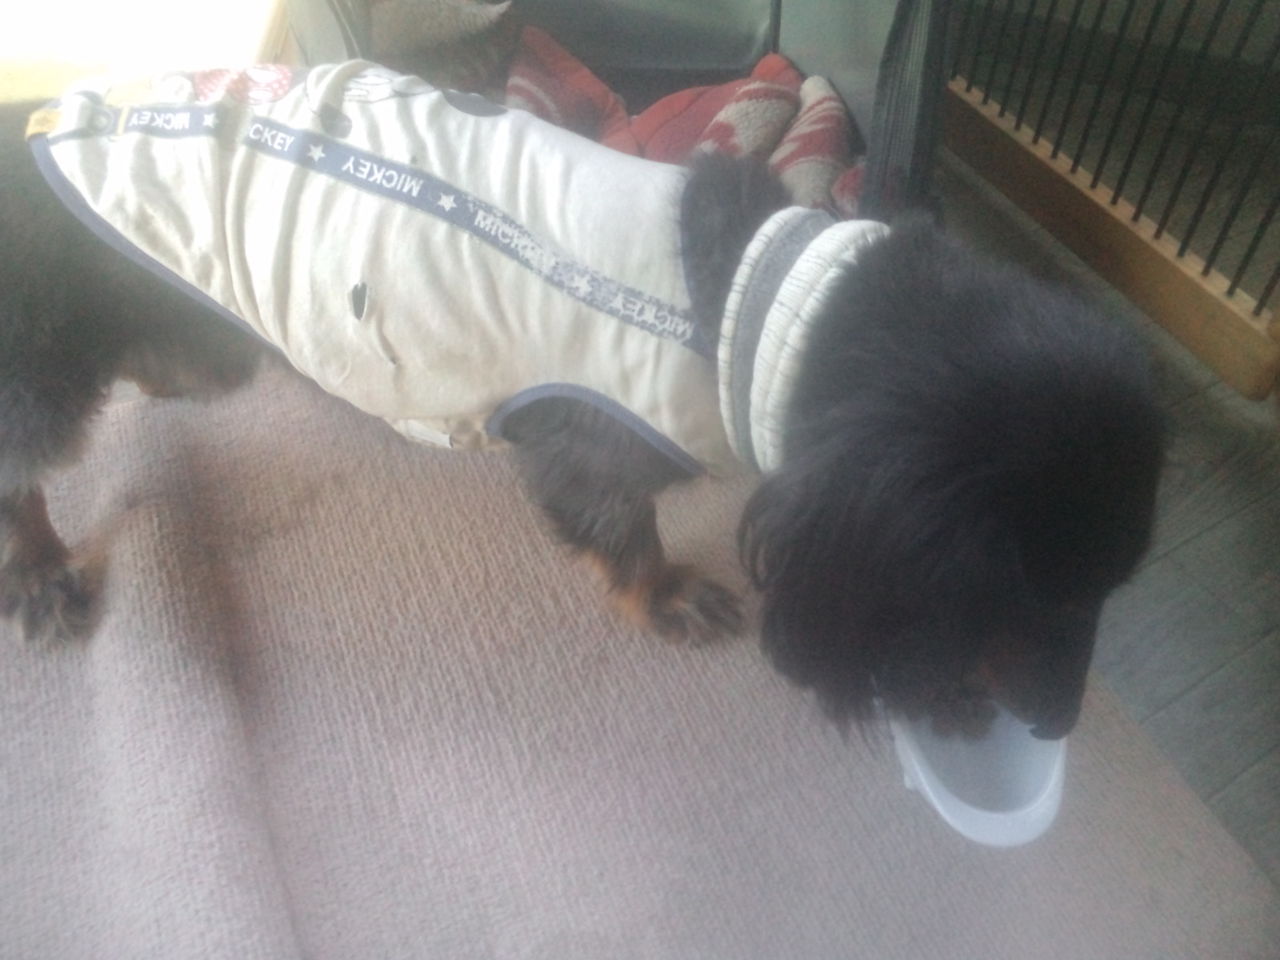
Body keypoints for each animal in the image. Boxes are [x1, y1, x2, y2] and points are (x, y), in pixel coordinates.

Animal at [0, 63, 1164, 741]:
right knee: (21, 477)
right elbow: (626, 537)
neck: (748, 304)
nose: (1057, 727)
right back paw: (43, 572)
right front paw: (666, 597)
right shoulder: (593, 456)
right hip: (35, 384)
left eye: (1111, 589)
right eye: (1014, 591)